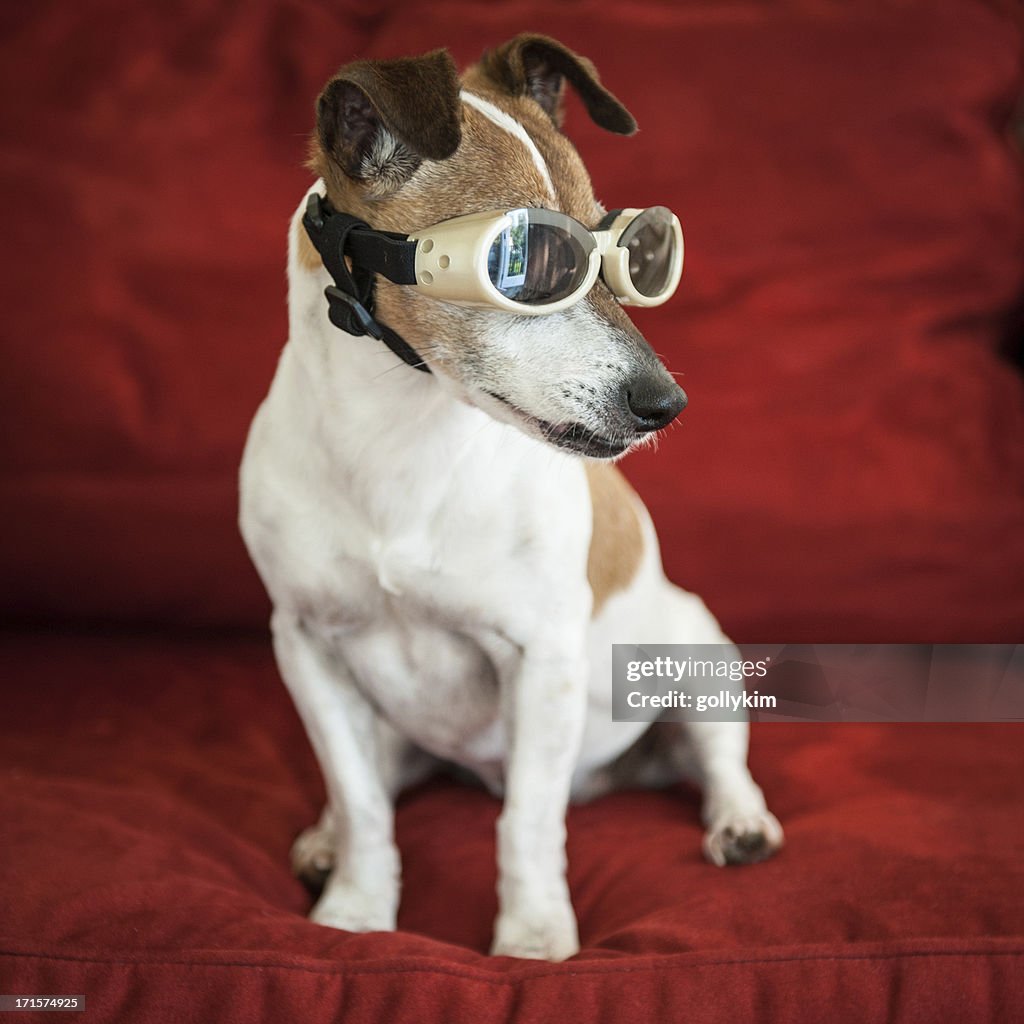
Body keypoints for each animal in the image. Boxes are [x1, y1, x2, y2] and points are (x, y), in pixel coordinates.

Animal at [239, 32, 782, 958]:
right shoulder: (308, 649)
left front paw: (531, 939)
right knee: (376, 785)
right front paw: (355, 912)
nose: (666, 403)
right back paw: (324, 840)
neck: (402, 436)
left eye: (633, 253)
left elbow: (526, 823)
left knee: (717, 759)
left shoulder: (542, 661)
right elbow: (362, 802)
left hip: (698, 657)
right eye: (524, 263)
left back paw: (741, 824)